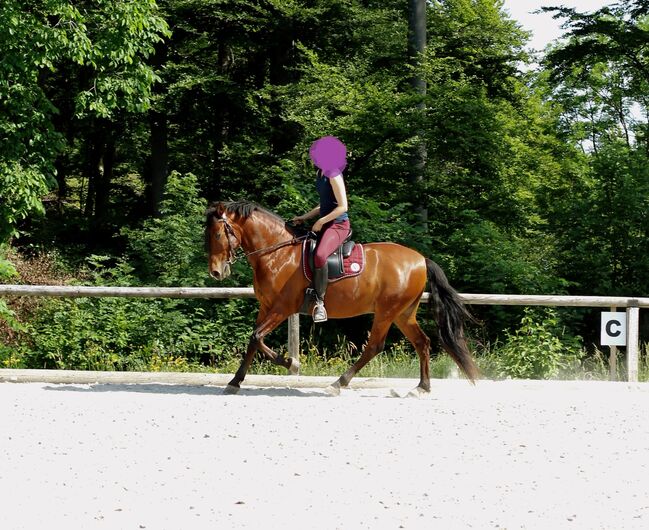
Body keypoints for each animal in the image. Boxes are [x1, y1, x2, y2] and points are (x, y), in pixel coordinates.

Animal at [205, 200, 478, 394]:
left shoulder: (282, 307)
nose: (216, 272)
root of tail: (421, 259)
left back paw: (338, 383)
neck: (276, 254)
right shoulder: (266, 306)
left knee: (374, 346)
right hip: (403, 313)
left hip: (387, 311)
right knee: (422, 342)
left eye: (217, 235)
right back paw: (422, 387)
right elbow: (253, 341)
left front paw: (291, 363)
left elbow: (257, 337)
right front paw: (235, 382)